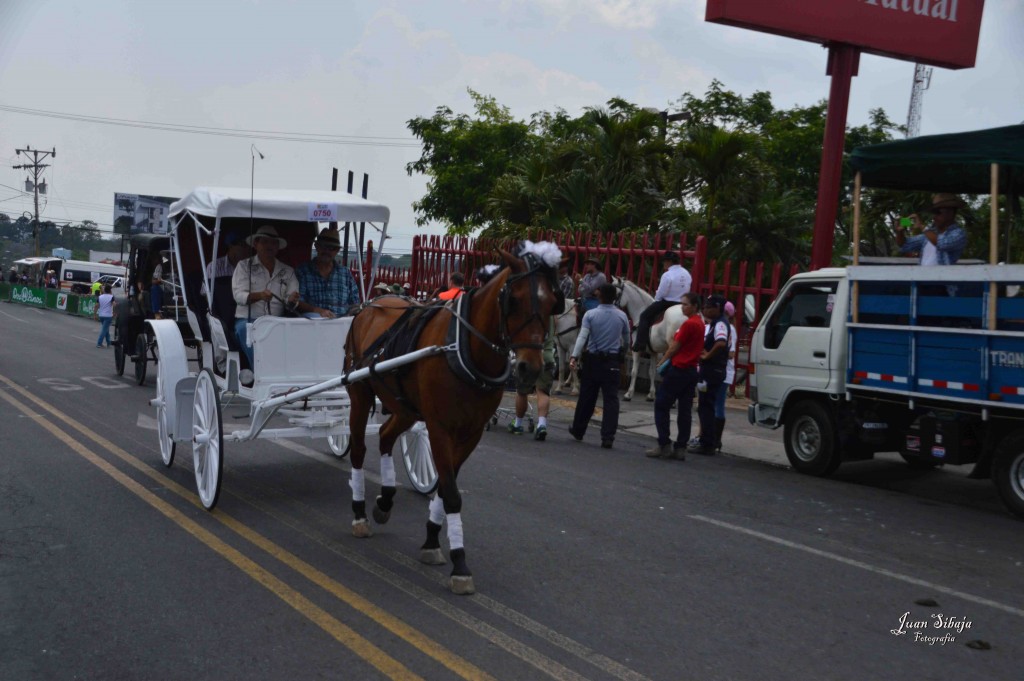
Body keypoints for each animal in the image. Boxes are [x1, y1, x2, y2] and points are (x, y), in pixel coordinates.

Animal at [344, 241, 561, 593]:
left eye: (553, 302)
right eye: (513, 299)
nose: (530, 368)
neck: (464, 348)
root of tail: (368, 305)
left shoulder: (471, 432)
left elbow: (446, 489)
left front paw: (433, 541)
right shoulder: (440, 427)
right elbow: (452, 494)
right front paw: (460, 562)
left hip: (405, 407)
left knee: (387, 438)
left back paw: (385, 501)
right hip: (360, 393)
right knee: (359, 450)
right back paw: (360, 513)